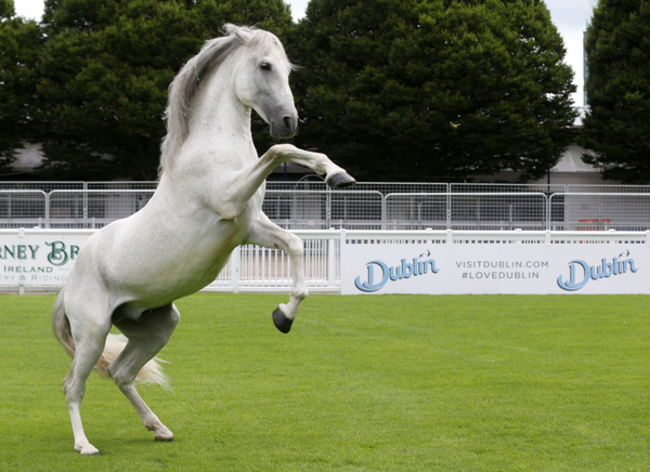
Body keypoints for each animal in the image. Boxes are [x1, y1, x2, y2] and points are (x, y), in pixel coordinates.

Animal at [50, 24, 354, 454]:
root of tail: (66, 287)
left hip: (156, 326)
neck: (214, 146)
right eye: (265, 65)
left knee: (122, 373)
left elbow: (295, 244)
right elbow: (279, 150)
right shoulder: (230, 201)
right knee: (72, 386)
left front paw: (284, 316)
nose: (288, 120)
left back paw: (159, 428)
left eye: (288, 68)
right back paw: (85, 445)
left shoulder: (251, 228)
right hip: (92, 333)